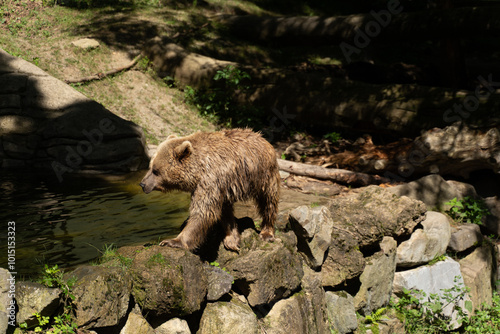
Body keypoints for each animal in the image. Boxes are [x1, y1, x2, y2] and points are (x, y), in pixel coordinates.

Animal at [140, 128, 282, 250]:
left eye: (156, 171)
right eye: (150, 166)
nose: (143, 184)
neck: (197, 171)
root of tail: (262, 137)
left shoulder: (211, 179)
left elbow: (203, 211)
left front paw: (171, 241)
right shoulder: (218, 186)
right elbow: (219, 211)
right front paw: (232, 238)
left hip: (264, 175)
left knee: (268, 201)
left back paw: (267, 232)